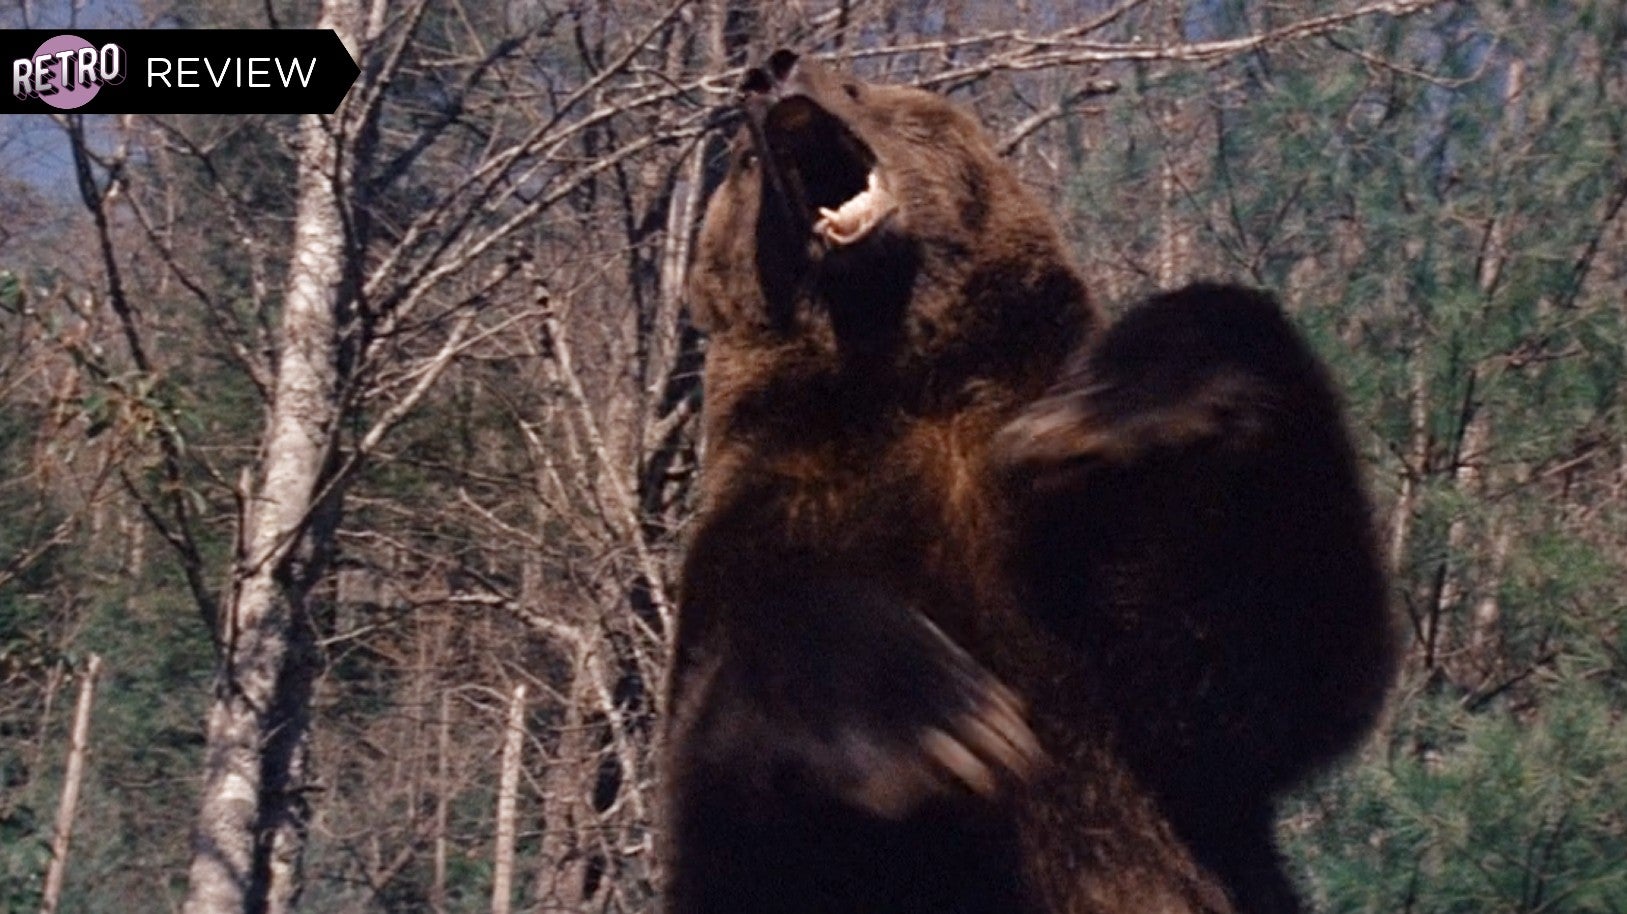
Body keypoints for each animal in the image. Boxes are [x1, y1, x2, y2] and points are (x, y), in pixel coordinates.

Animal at [664, 48, 1396, 914]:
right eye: (744, 166)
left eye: (855, 86)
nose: (769, 73)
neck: (904, 380)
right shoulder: (768, 517)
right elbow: (735, 818)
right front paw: (939, 713)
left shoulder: (1077, 557)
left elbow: (1258, 664)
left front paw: (1126, 399)